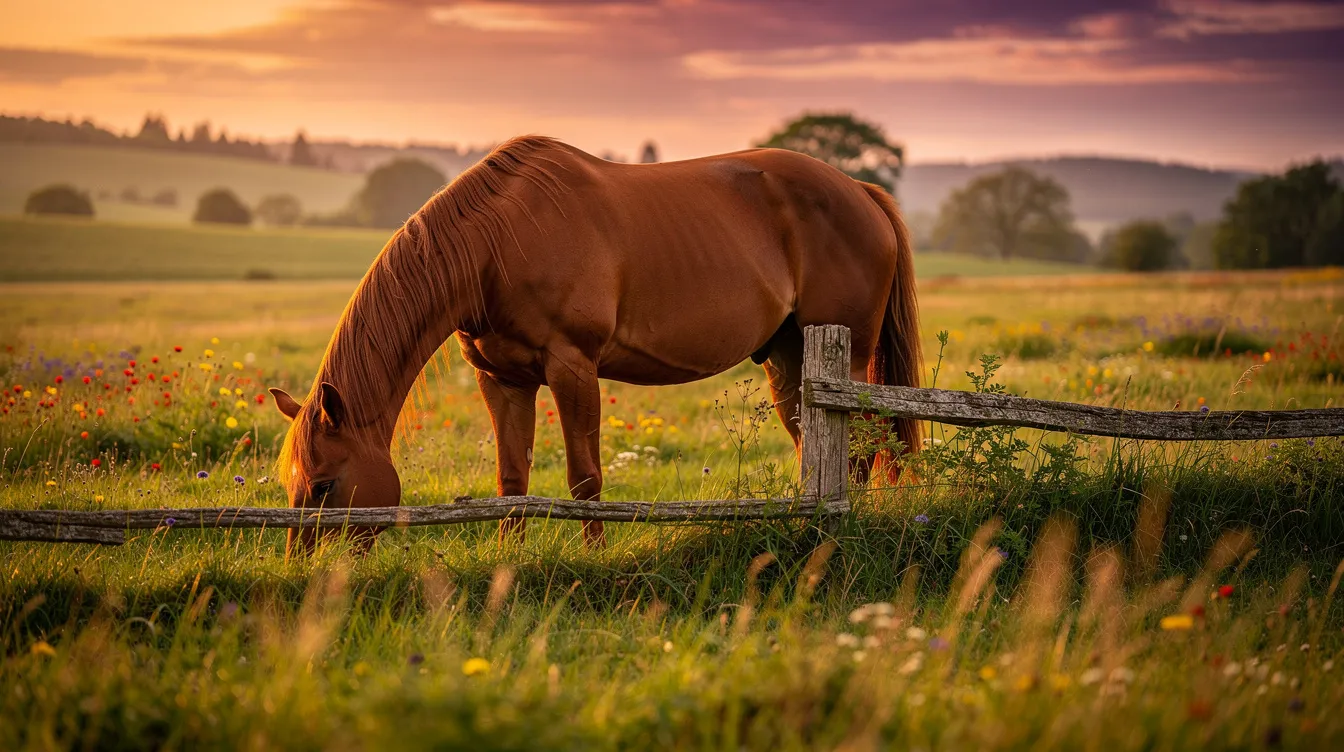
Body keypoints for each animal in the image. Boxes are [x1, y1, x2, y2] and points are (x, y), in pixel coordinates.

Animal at [268, 136, 922, 556]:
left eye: (323, 485)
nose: (305, 570)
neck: (497, 244)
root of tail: (859, 190)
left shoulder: (572, 367)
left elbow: (585, 477)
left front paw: (593, 557)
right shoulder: (501, 379)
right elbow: (512, 477)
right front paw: (509, 557)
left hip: (845, 353)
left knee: (863, 444)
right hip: (789, 359)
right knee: (817, 442)